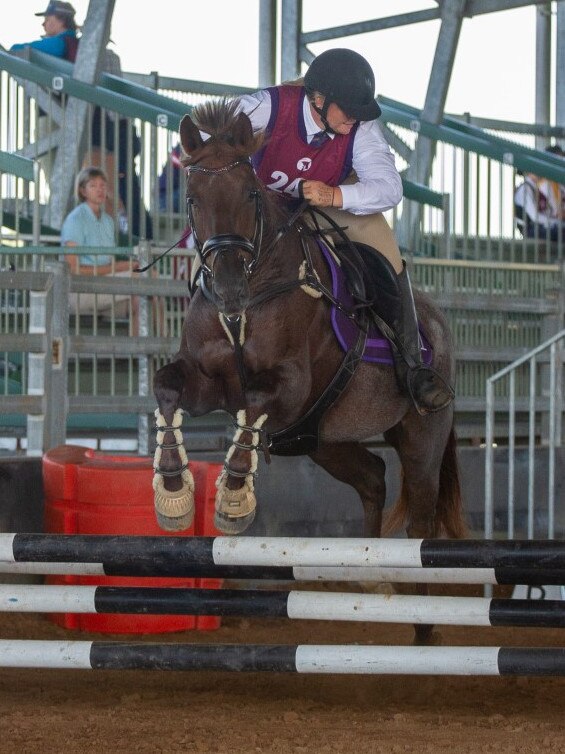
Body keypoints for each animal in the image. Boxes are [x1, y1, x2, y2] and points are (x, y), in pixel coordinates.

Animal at [152, 98, 464, 640]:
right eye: (191, 198)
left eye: (251, 194)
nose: (229, 287)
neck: (252, 299)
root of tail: (437, 320)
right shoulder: (209, 385)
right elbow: (167, 386)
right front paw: (173, 490)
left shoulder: (289, 388)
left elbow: (256, 404)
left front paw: (233, 498)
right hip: (322, 437)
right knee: (373, 477)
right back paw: (369, 573)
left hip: (420, 435)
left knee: (421, 526)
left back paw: (424, 628)